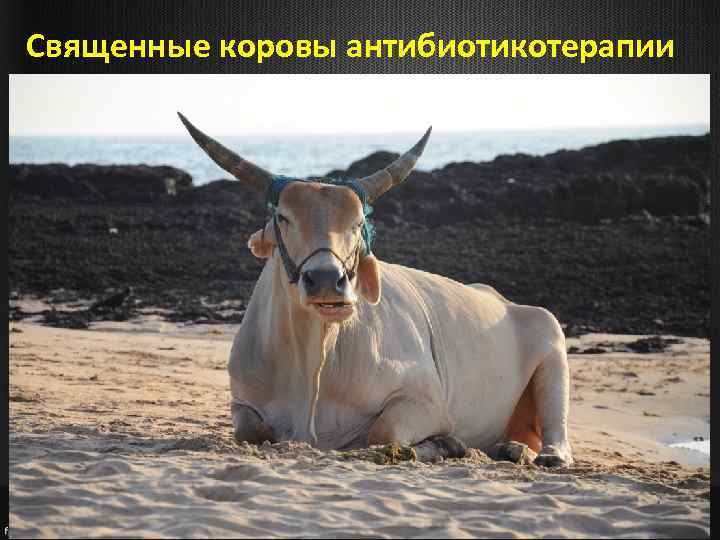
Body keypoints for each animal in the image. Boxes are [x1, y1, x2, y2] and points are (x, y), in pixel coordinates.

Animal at [178, 112, 573, 467]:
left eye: (358, 222)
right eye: (283, 217)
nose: (327, 279)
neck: (314, 359)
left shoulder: (425, 400)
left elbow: (382, 435)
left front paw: (445, 444)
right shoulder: (242, 403)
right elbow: (249, 430)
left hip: (553, 347)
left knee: (557, 434)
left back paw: (533, 453)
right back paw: (511, 447)